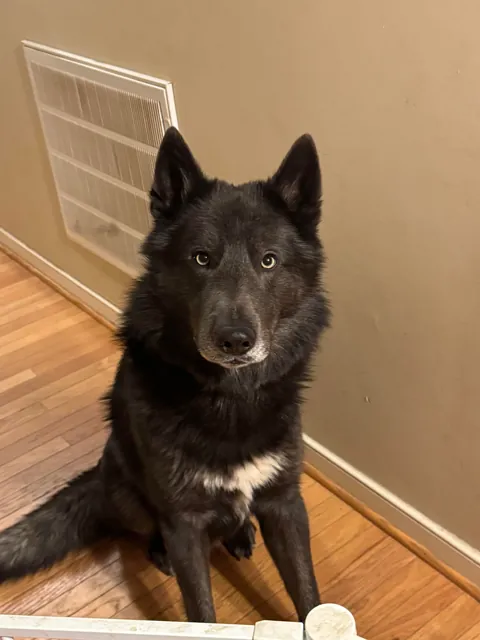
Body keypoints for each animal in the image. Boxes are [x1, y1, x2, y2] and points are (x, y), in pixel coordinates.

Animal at [0, 127, 330, 623]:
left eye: (269, 261)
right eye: (201, 258)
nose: (235, 340)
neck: (229, 399)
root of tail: (98, 474)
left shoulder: (285, 503)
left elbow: (308, 594)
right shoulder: (183, 522)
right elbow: (201, 611)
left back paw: (239, 534)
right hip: (129, 494)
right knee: (145, 528)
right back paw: (161, 551)